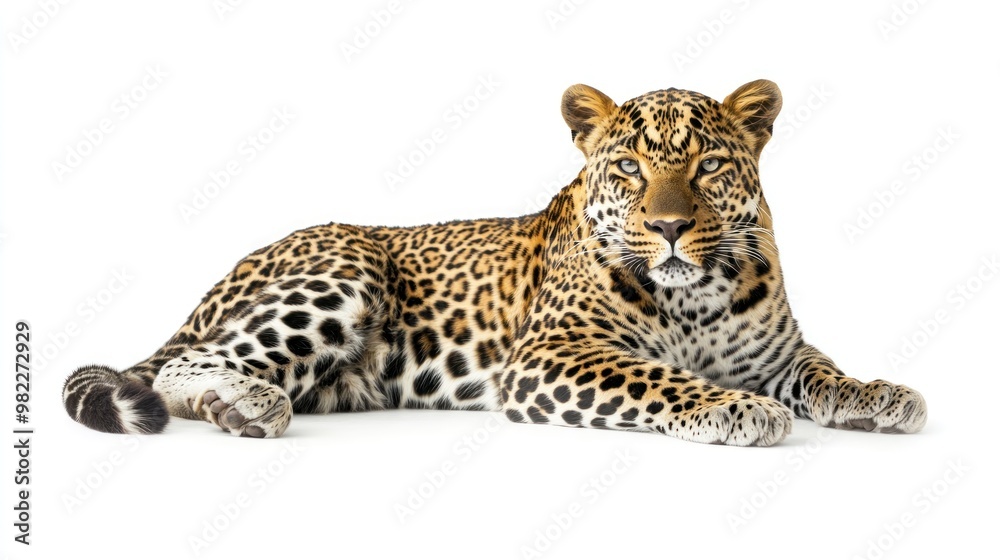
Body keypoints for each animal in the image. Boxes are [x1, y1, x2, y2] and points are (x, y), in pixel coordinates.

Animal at [62, 79, 927, 446]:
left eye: (709, 166)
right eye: (629, 170)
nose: (672, 226)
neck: (696, 296)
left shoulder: (776, 351)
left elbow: (823, 370)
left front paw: (878, 395)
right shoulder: (552, 353)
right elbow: (662, 377)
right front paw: (736, 408)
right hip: (343, 268)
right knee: (186, 363)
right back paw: (247, 401)